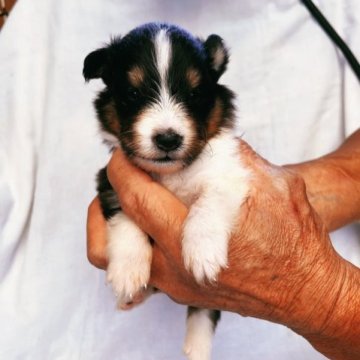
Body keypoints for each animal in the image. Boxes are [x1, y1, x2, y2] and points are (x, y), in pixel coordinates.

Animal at [83, 23, 250, 360]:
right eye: (133, 94)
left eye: (195, 94)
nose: (168, 139)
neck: (170, 173)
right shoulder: (111, 180)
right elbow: (127, 217)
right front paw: (128, 271)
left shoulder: (228, 174)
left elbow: (208, 203)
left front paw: (202, 253)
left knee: (205, 309)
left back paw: (197, 346)